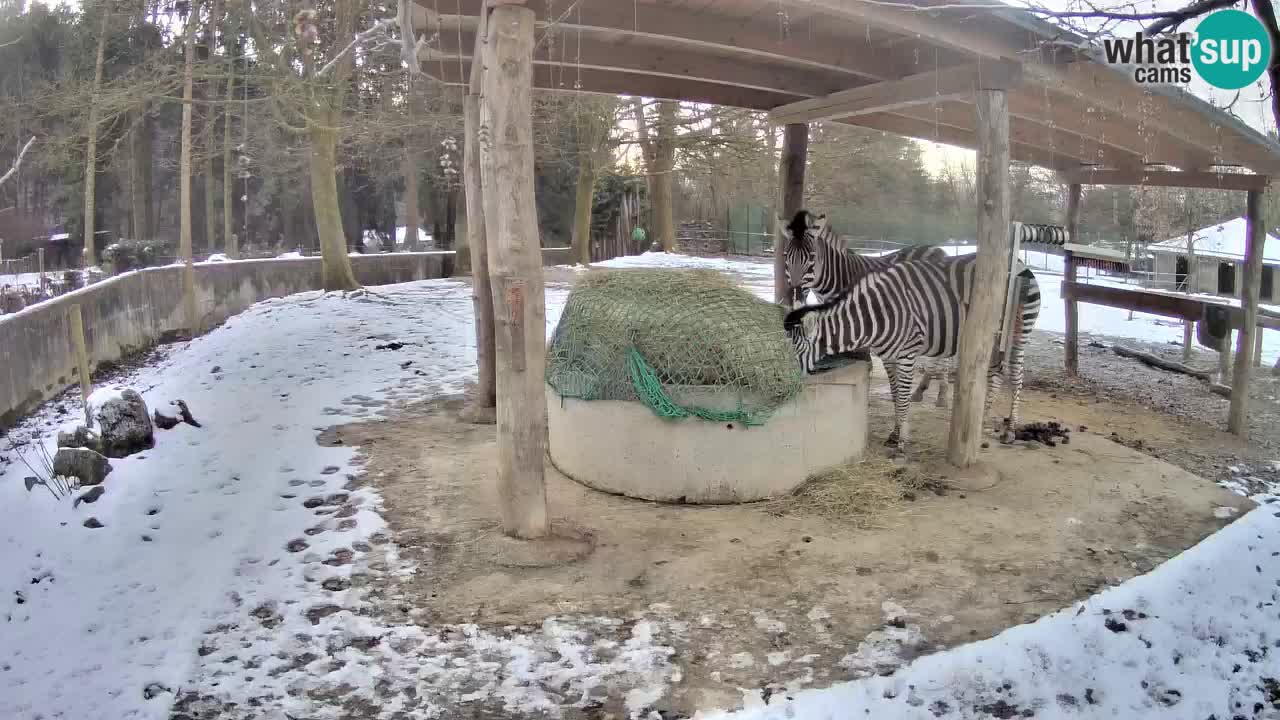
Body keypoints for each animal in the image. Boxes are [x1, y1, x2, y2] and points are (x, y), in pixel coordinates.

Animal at [773, 210, 957, 407]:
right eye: (785, 256)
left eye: (812, 257)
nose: (795, 298)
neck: (837, 278)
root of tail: (938, 249)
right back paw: (921, 390)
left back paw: (941, 395)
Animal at [778, 254, 1039, 450]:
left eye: (794, 350)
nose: (779, 388)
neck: (875, 316)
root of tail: (1019, 261)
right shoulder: (888, 357)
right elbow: (895, 395)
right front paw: (895, 433)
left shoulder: (907, 353)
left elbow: (903, 396)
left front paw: (902, 442)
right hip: (991, 339)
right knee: (995, 374)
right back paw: (981, 421)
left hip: (1019, 331)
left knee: (1016, 376)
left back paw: (1009, 431)